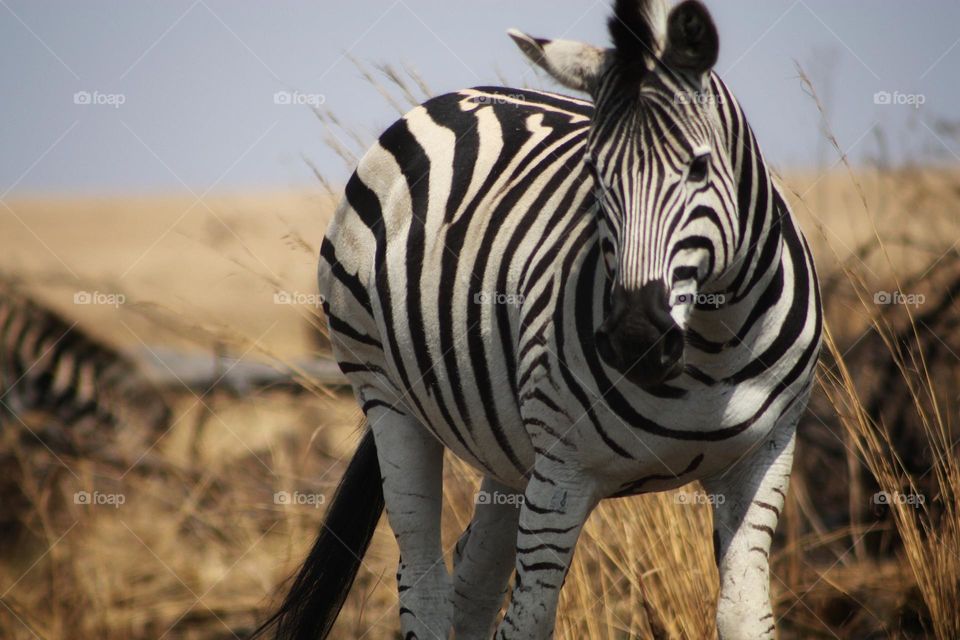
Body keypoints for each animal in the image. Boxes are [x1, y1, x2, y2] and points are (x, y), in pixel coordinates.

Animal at [258, 1, 820, 640]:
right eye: (595, 173)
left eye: (700, 167)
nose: (634, 340)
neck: (712, 352)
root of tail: (458, 96)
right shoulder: (562, 473)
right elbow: (529, 616)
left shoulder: (766, 459)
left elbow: (744, 612)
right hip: (387, 396)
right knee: (423, 580)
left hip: (504, 441)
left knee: (472, 580)